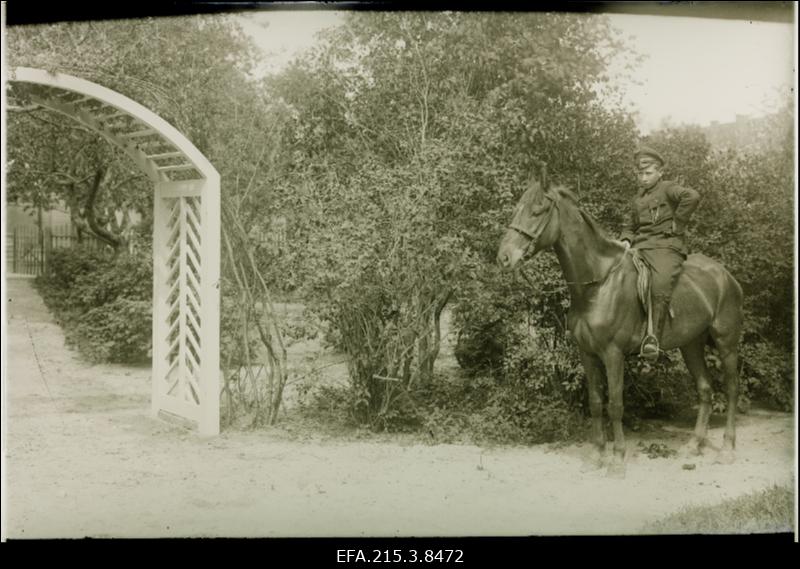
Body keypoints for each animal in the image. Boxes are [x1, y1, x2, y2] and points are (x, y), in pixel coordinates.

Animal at [496, 178, 748, 474]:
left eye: (537, 210)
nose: (504, 257)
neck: (599, 284)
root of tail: (727, 276)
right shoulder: (588, 354)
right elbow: (595, 403)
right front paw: (596, 456)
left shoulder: (613, 354)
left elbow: (615, 405)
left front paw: (617, 460)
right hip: (691, 345)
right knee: (705, 389)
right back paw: (694, 445)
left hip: (726, 342)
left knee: (731, 389)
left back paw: (727, 450)